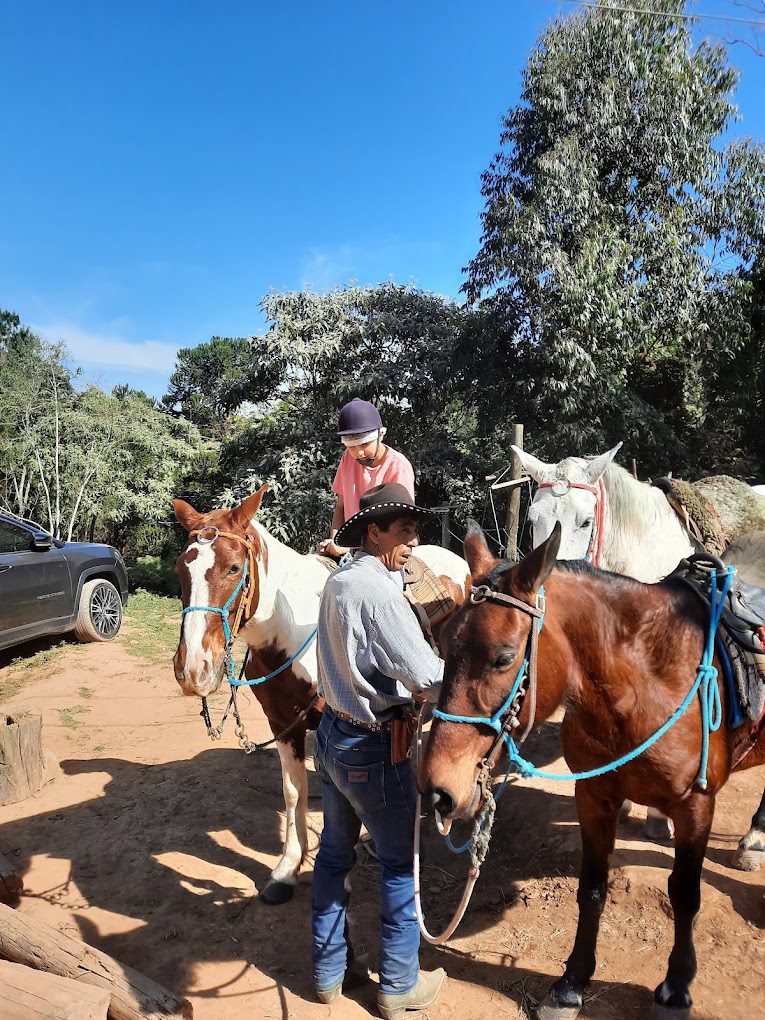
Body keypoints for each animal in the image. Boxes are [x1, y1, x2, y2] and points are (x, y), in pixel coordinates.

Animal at [173, 489, 473, 905]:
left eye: (234, 568)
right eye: (179, 570)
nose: (192, 670)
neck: (291, 632)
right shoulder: (283, 724)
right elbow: (294, 792)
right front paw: (287, 870)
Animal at [420, 522, 765, 1015]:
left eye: (503, 658)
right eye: (445, 645)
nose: (437, 790)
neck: (646, 685)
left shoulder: (697, 807)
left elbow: (684, 894)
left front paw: (676, 984)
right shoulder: (595, 796)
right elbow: (592, 889)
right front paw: (572, 982)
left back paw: (754, 839)